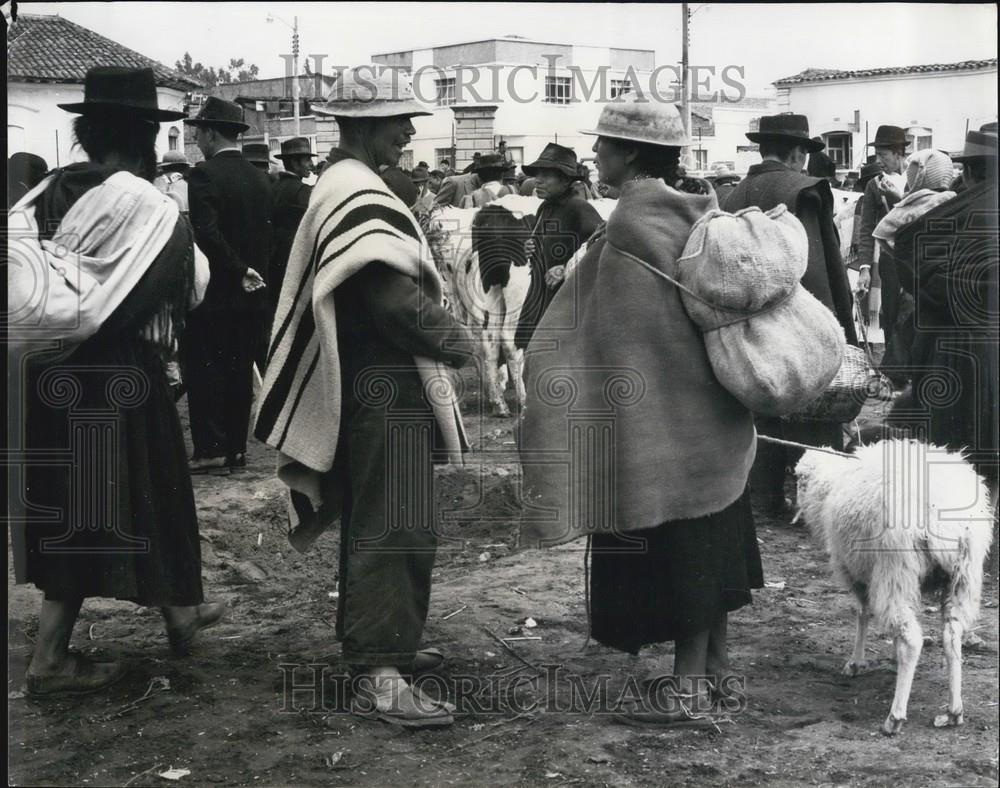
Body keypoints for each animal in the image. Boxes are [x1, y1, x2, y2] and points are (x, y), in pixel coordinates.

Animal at [792, 440, 996, 736]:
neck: (828, 485)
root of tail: (940, 514)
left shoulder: (854, 572)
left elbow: (862, 614)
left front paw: (856, 662)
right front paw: (891, 657)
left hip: (895, 569)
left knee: (911, 639)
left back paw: (895, 717)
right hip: (963, 576)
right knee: (951, 635)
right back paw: (954, 710)